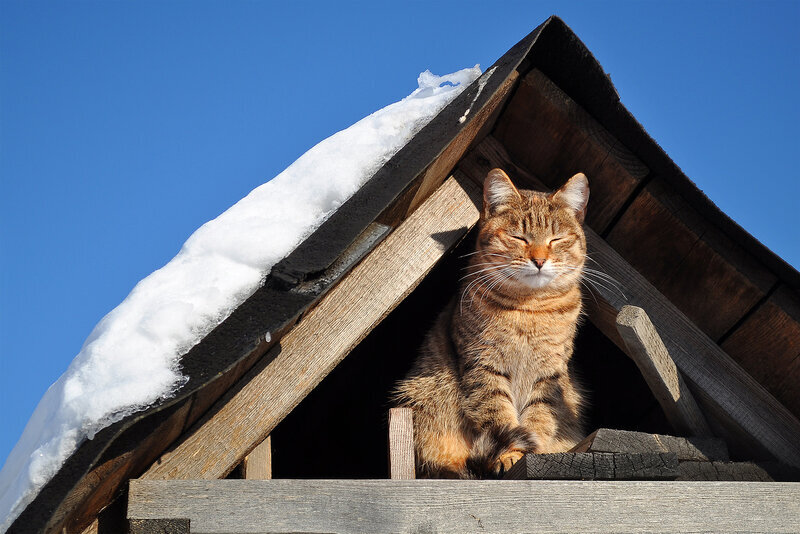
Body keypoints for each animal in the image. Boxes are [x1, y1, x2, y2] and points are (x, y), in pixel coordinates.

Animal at [392, 170, 588, 480]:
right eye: (518, 237)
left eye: (556, 239)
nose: (540, 260)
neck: (529, 308)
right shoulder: (483, 365)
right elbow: (498, 416)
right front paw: (510, 455)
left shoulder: (550, 373)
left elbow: (541, 417)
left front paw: (533, 451)